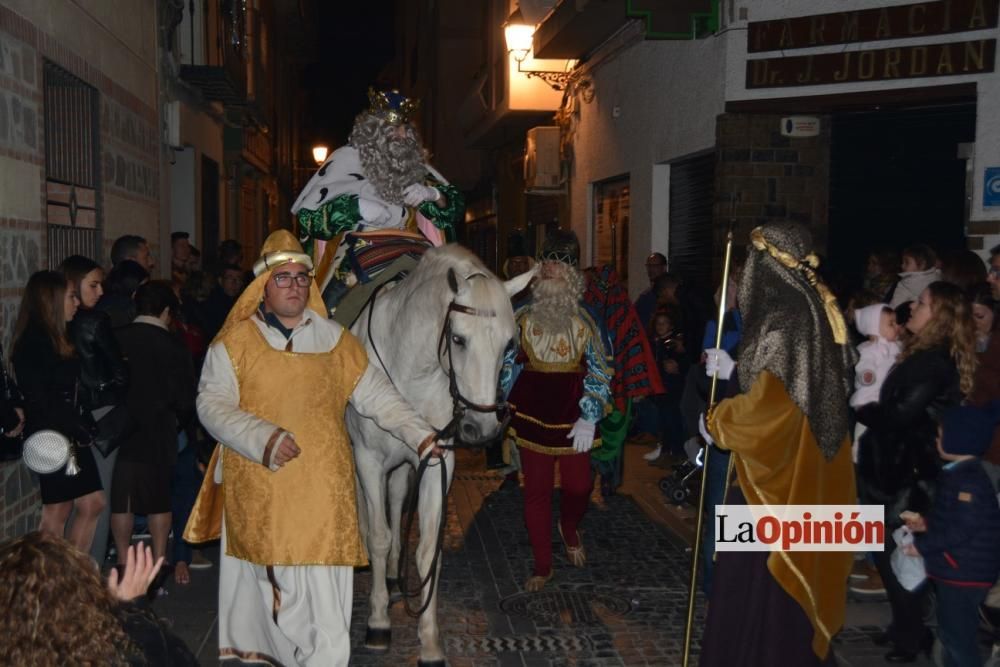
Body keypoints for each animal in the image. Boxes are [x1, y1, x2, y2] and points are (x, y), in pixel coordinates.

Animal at [346, 247, 536, 667]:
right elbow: (379, 536)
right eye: (458, 339)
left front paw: (430, 641)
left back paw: (394, 579)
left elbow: (427, 551)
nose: (482, 429)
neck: (408, 372)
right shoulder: (368, 460)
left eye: (508, 345)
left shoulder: (433, 461)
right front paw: (378, 622)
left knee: (397, 503)